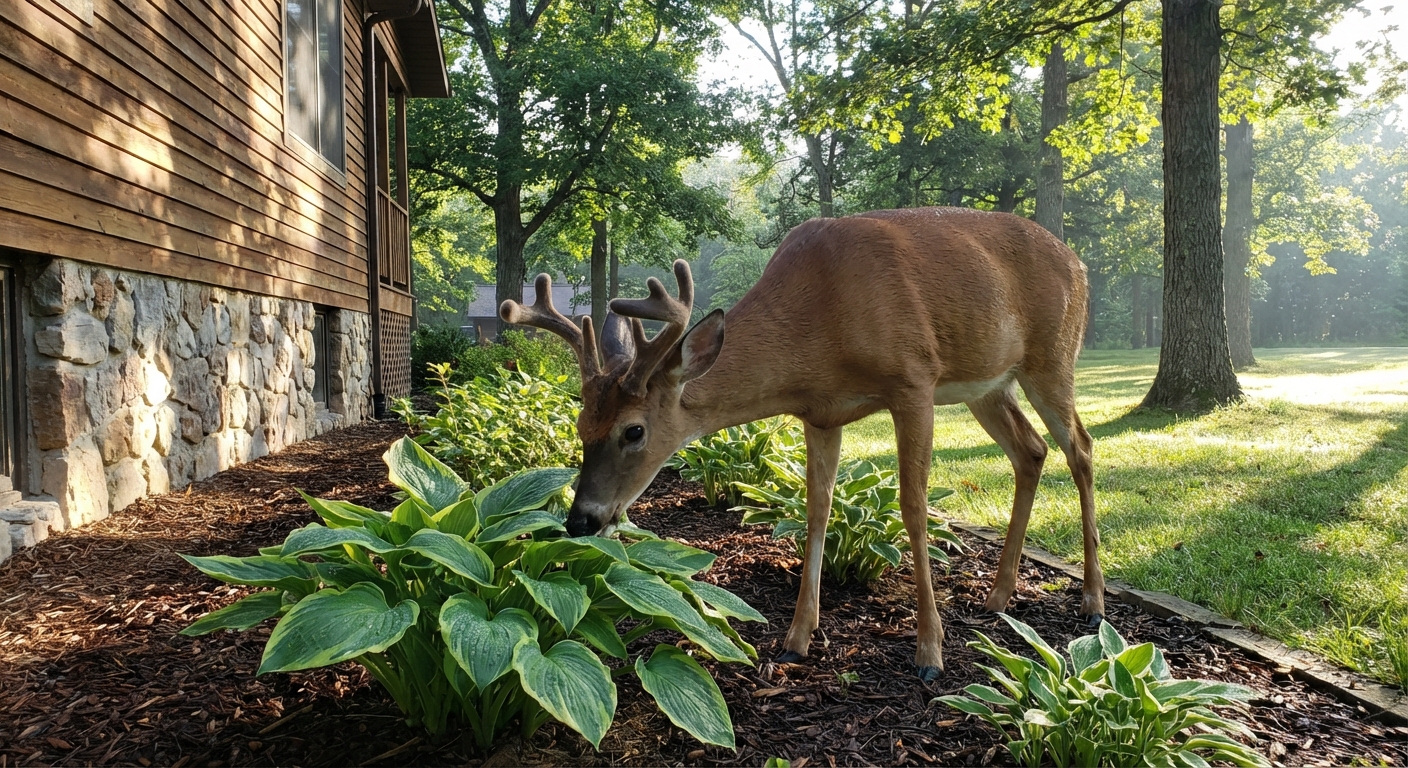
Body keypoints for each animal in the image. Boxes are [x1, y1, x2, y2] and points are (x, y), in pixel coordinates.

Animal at [500, 206, 1105, 679]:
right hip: (990, 384)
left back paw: (1093, 603)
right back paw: (999, 596)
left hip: (1052, 356)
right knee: (1032, 451)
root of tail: (1080, 264)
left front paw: (930, 653)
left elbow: (913, 508)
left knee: (1080, 447)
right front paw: (796, 639)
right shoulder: (821, 414)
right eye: (581, 425)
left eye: (634, 430)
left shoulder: (914, 379)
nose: (581, 520)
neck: (819, 329)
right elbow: (817, 510)